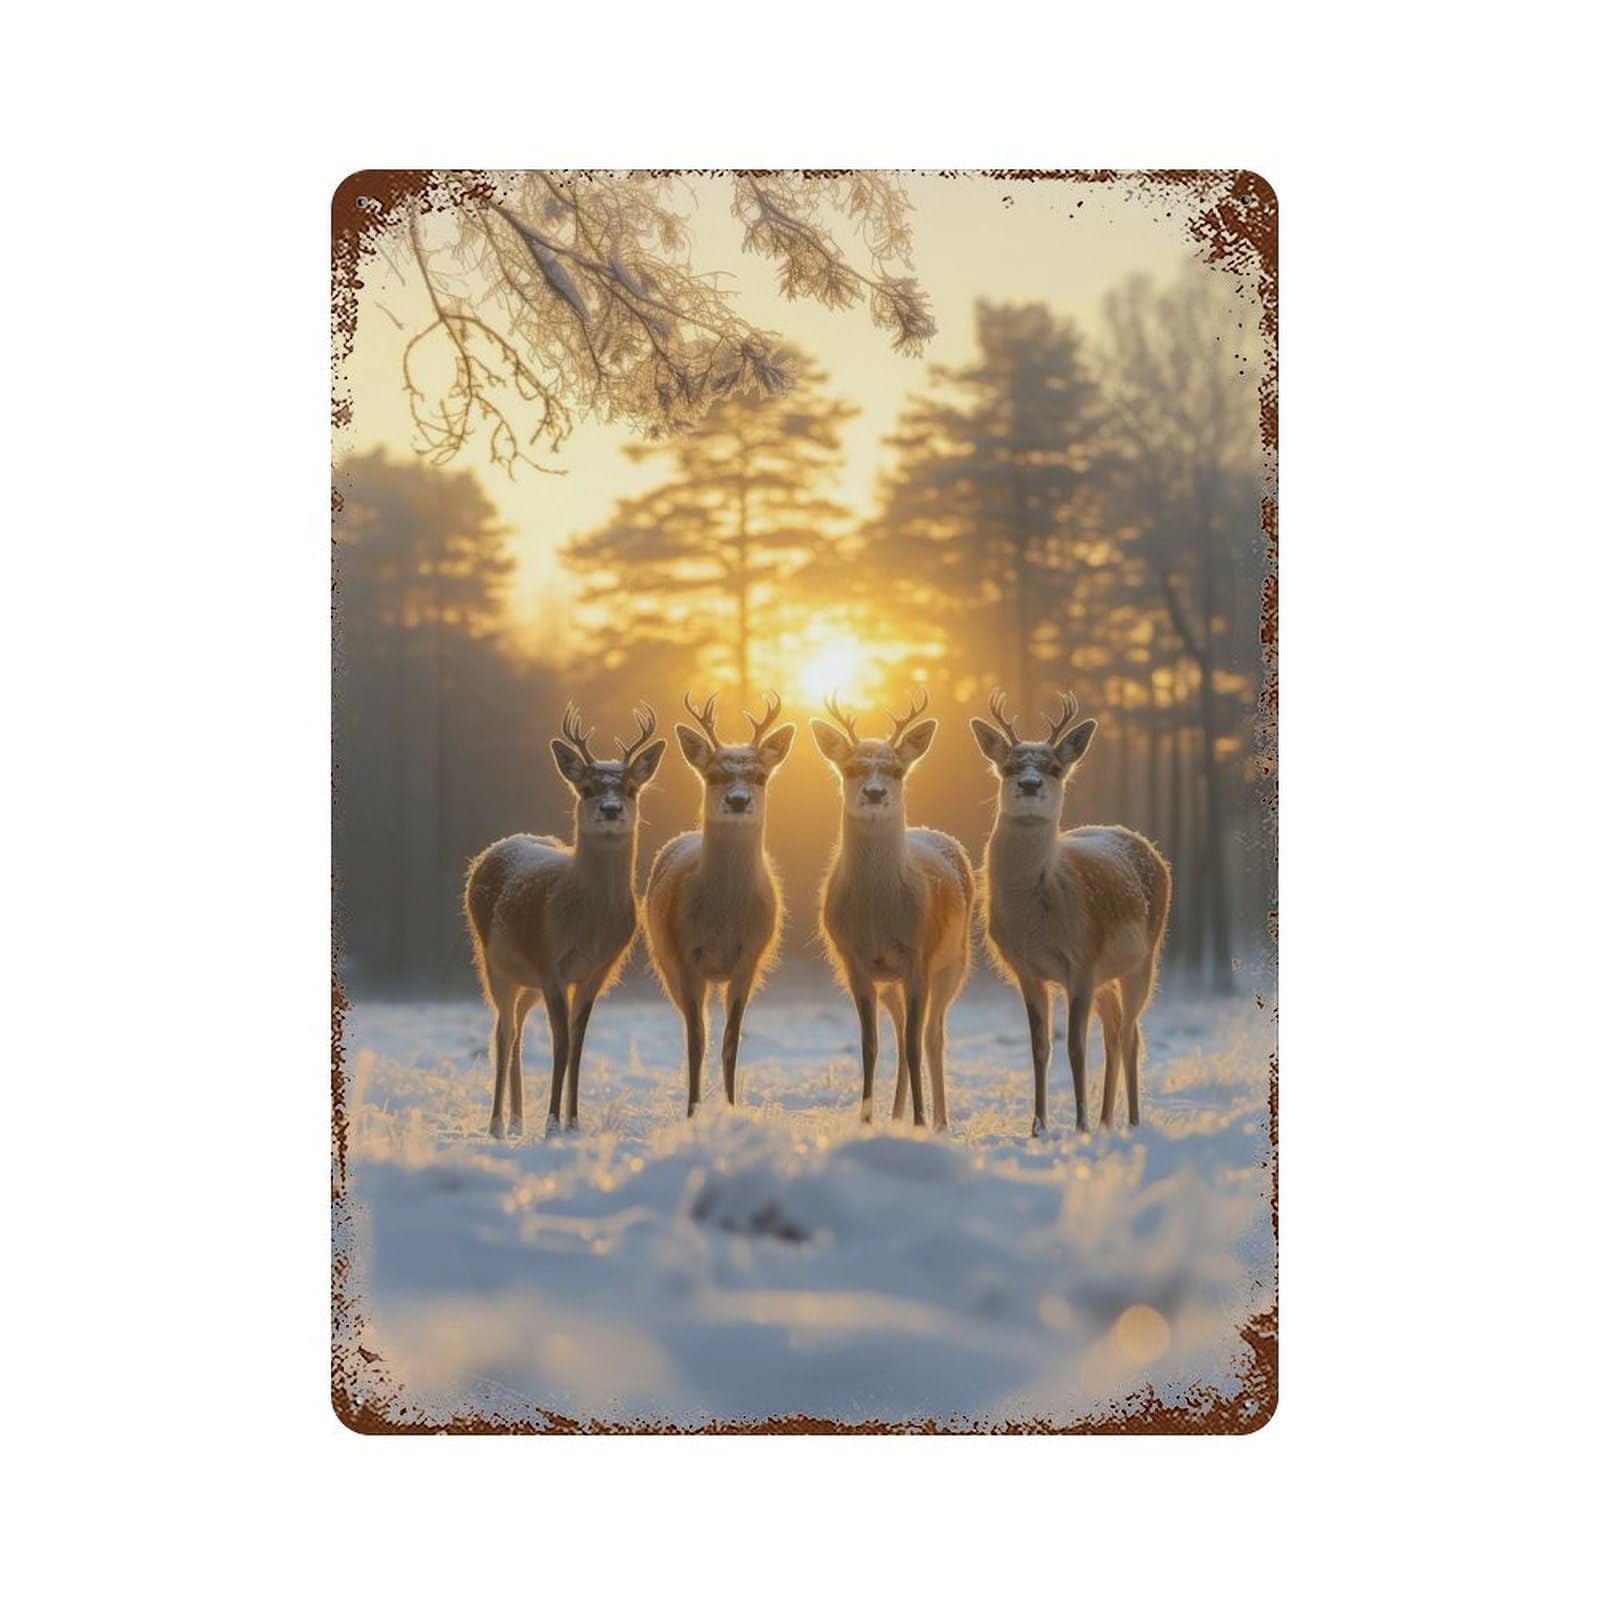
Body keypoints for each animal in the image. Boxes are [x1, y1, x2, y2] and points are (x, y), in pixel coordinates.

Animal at [464, 703, 666, 1139]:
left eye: (631, 788)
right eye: (587, 788)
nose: (611, 809)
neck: (588, 925)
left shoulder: (597, 970)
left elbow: (577, 1044)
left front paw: (573, 1123)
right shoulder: (550, 961)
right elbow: (560, 1043)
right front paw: (553, 1124)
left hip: (527, 981)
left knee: (519, 1032)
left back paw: (518, 1120)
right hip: (493, 962)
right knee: (503, 1031)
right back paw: (497, 1124)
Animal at [644, 690, 797, 1117]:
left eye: (760, 775)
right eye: (713, 775)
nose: (738, 800)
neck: (724, 919)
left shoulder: (750, 958)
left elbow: (731, 1040)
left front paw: (730, 1107)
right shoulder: (686, 956)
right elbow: (697, 1041)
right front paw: (692, 1111)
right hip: (665, 964)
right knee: (694, 1028)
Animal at [811, 690, 974, 1131]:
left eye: (898, 770)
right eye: (851, 767)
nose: (874, 793)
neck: (877, 918)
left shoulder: (918, 958)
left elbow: (917, 1044)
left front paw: (920, 1121)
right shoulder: (856, 964)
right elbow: (870, 1043)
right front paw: (866, 1119)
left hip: (954, 963)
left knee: (932, 1035)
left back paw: (939, 1121)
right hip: (891, 982)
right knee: (902, 1033)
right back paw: (897, 1113)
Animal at [970, 689, 1171, 1137]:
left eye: (1055, 768)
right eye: (1009, 766)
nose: (1029, 784)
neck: (1035, 922)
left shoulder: (1082, 958)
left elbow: (1076, 1047)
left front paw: (1078, 1125)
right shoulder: (1027, 969)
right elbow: (1040, 1046)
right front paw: (1038, 1127)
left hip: (1144, 958)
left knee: (1130, 1033)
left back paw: (1131, 1121)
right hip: (1106, 977)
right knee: (1114, 1029)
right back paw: (1107, 1119)